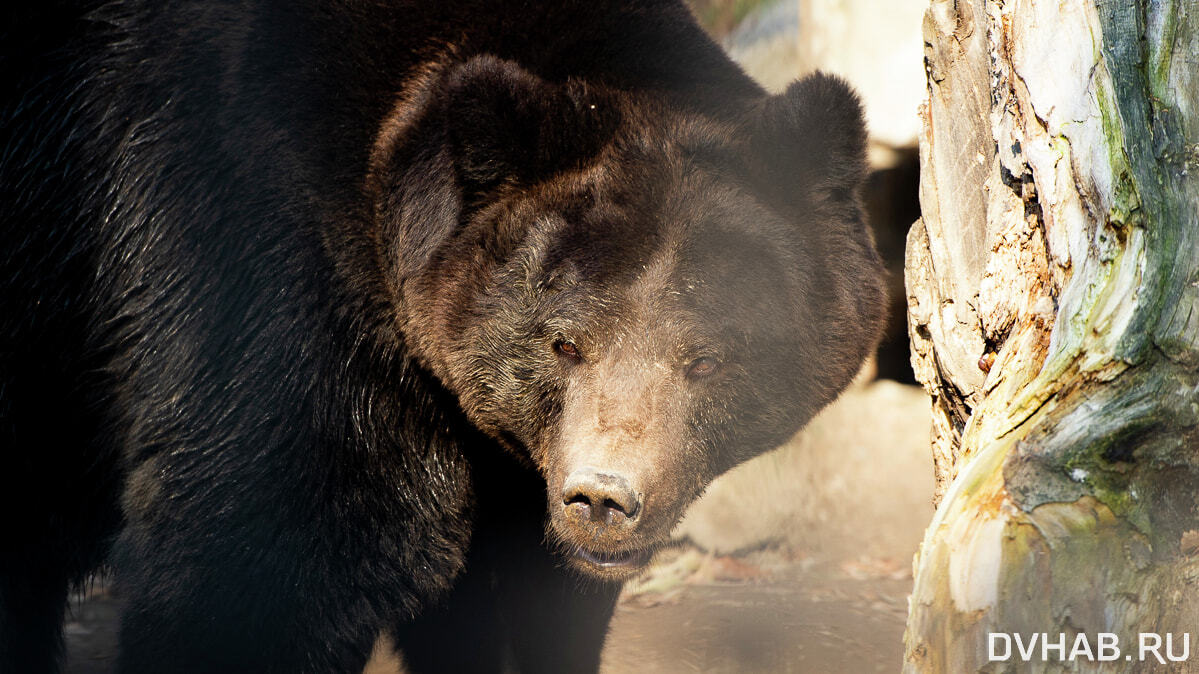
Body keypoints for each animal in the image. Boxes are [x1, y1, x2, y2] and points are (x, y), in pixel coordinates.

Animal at [0, 1, 882, 671]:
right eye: (564, 343)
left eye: (703, 358)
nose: (601, 499)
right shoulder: (256, 281)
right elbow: (257, 564)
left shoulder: (507, 476)